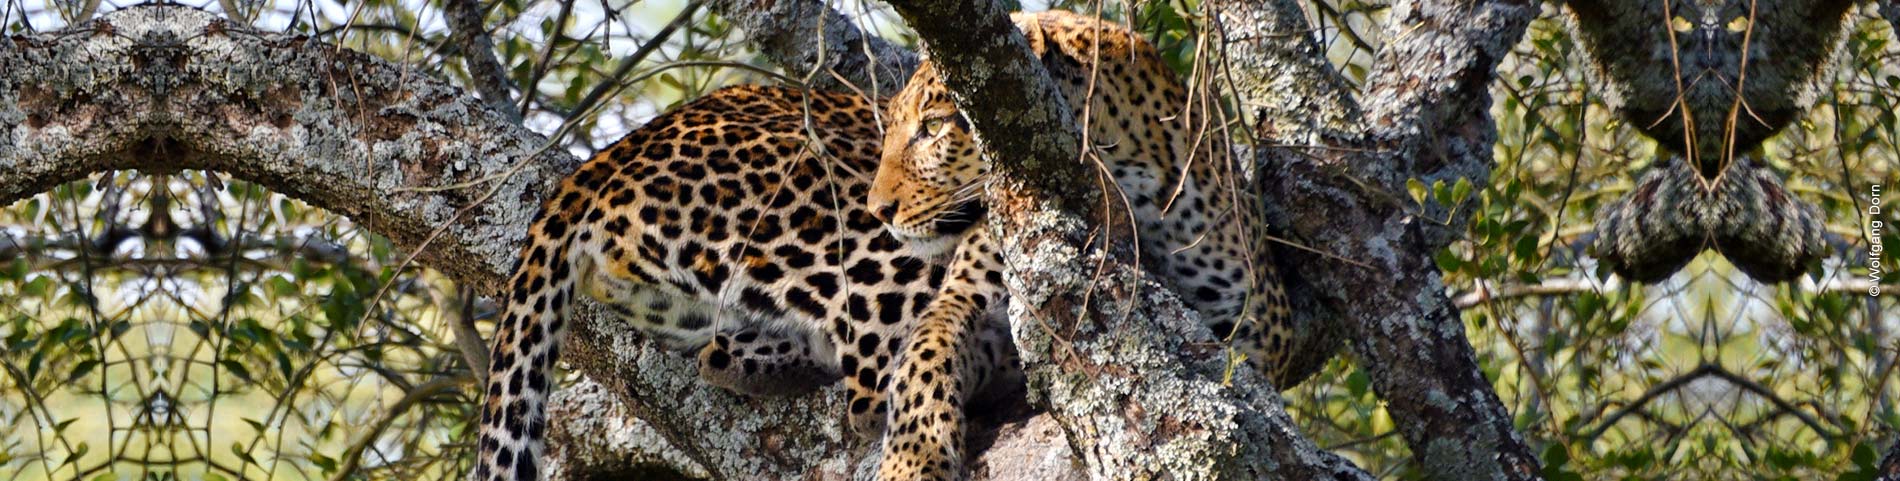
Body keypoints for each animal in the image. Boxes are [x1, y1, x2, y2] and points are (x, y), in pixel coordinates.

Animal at [866, 10, 1321, 480]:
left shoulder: (1253, 338)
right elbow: (922, 351)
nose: (877, 209)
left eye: (933, 126)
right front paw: (909, 461)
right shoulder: (972, 293)